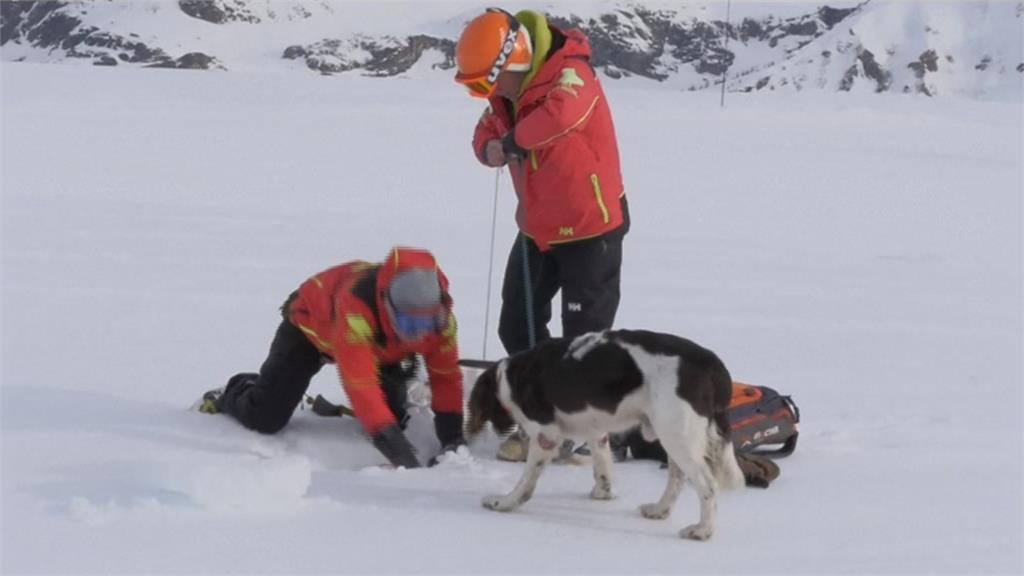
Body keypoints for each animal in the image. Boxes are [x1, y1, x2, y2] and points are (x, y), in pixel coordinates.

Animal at [466, 327, 745, 537]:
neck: (513, 376)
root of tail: (711, 363)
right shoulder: (596, 430)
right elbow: (602, 466)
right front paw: (603, 493)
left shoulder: (546, 435)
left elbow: (525, 483)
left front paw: (504, 503)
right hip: (674, 436)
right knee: (676, 479)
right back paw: (659, 510)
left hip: (677, 435)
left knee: (707, 485)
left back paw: (702, 530)